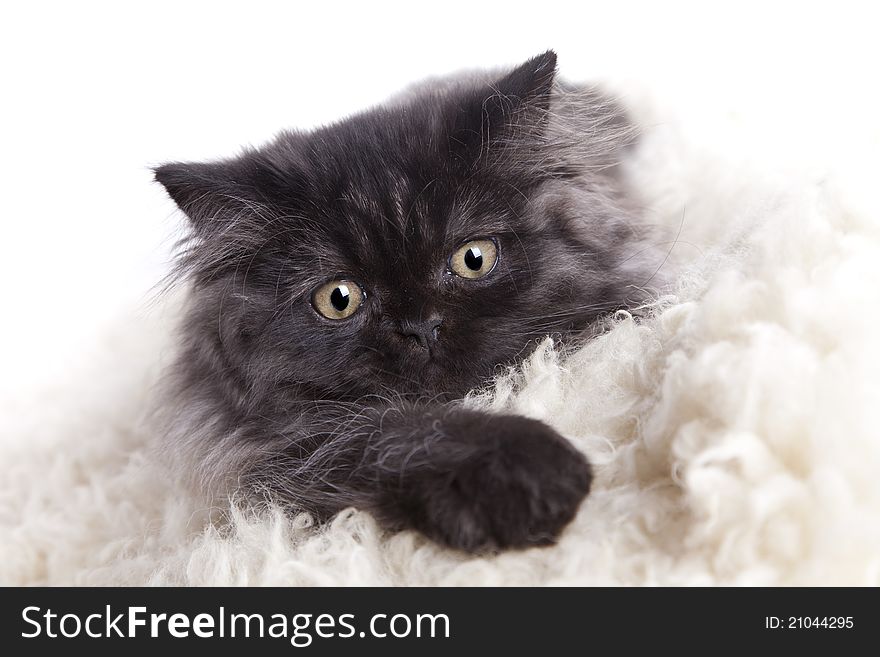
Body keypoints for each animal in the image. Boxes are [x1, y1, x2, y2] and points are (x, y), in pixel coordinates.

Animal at [155, 52, 660, 552]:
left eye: (474, 258)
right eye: (339, 299)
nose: (420, 327)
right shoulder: (281, 445)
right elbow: (398, 428)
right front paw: (533, 473)